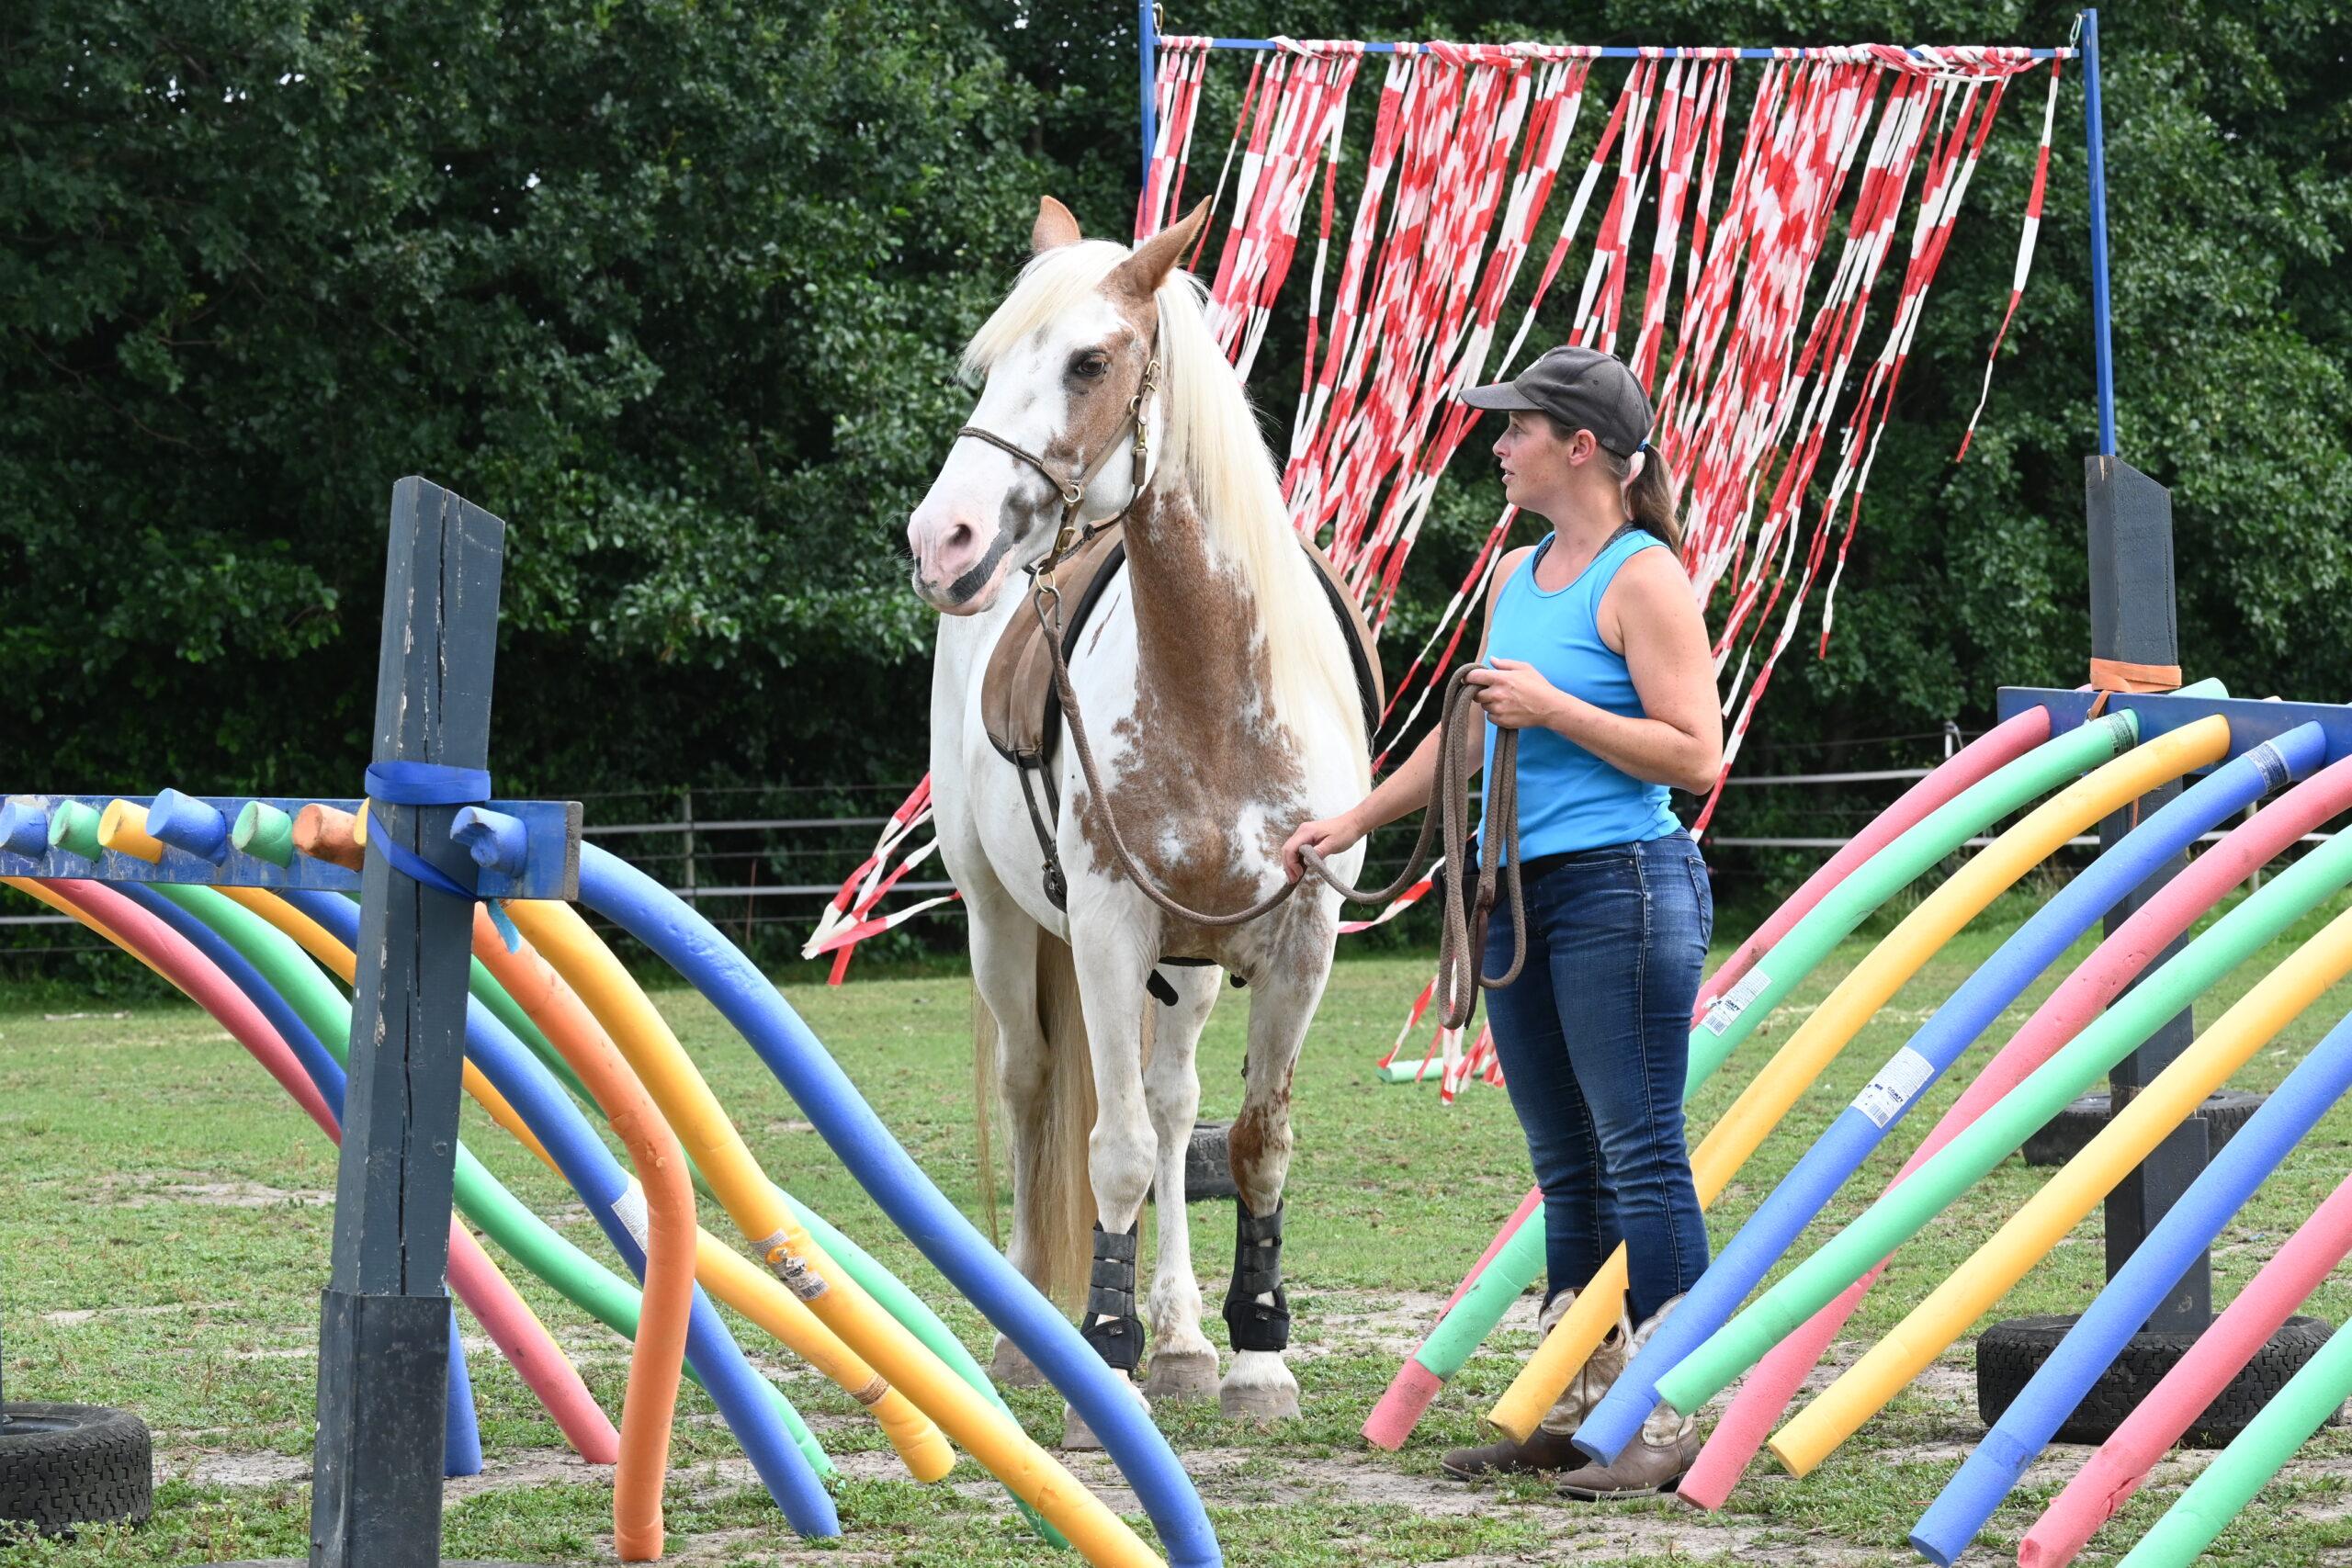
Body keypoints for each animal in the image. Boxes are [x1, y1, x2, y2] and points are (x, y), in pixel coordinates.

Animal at [903, 192, 1374, 1438]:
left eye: (1089, 362)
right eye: (988, 365)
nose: (941, 540)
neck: (1214, 687)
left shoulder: (1298, 941)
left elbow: (1252, 1146)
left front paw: (1252, 1355)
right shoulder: (1109, 931)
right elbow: (1107, 1153)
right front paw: (1103, 1367)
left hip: (1193, 964)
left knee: (1172, 1110)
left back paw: (1182, 1336)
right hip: (1001, 927)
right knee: (1035, 1096)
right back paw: (1037, 1332)